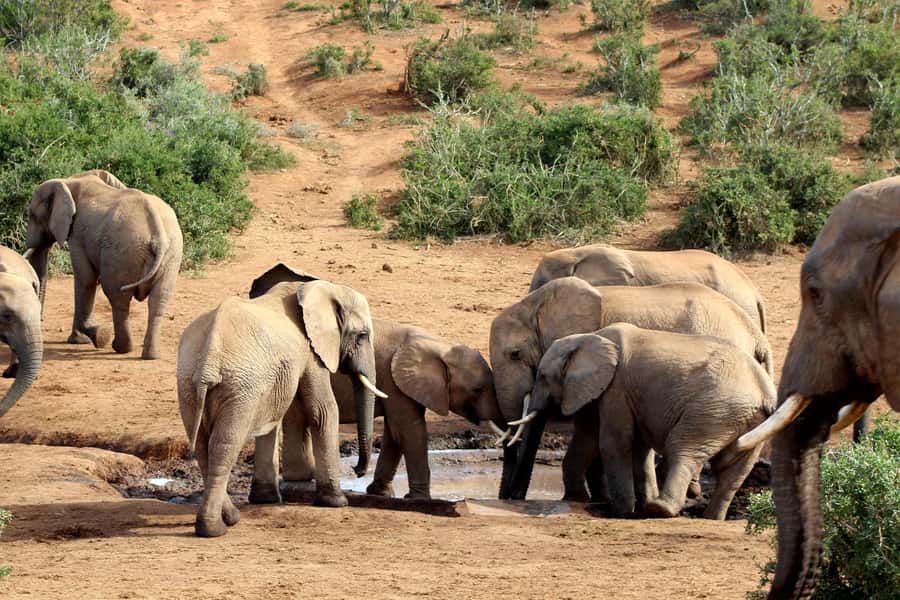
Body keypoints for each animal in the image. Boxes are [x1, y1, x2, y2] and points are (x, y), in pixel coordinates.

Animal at [23, 169, 183, 359]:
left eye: (32, 216)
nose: (40, 320)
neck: (69, 181)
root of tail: (159, 236)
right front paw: (83, 339)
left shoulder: (77, 234)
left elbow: (86, 279)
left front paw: (92, 337)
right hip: (171, 255)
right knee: (159, 299)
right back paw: (151, 356)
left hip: (122, 250)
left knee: (117, 295)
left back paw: (120, 347)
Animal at [176, 278, 384, 537]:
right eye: (362, 335)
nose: (357, 470)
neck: (317, 287)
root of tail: (209, 355)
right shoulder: (310, 350)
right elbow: (323, 410)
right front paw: (336, 502)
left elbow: (271, 420)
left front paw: (266, 499)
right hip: (238, 386)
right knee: (224, 445)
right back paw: (215, 529)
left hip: (190, 383)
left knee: (203, 446)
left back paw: (229, 518)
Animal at [510, 324, 775, 519]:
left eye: (542, 376)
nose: (512, 497)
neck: (589, 338)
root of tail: (765, 390)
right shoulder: (606, 391)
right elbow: (604, 441)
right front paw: (577, 500)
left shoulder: (616, 387)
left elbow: (613, 442)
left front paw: (622, 512)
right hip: (748, 418)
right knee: (734, 470)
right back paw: (711, 518)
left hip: (714, 408)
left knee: (683, 449)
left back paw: (660, 509)